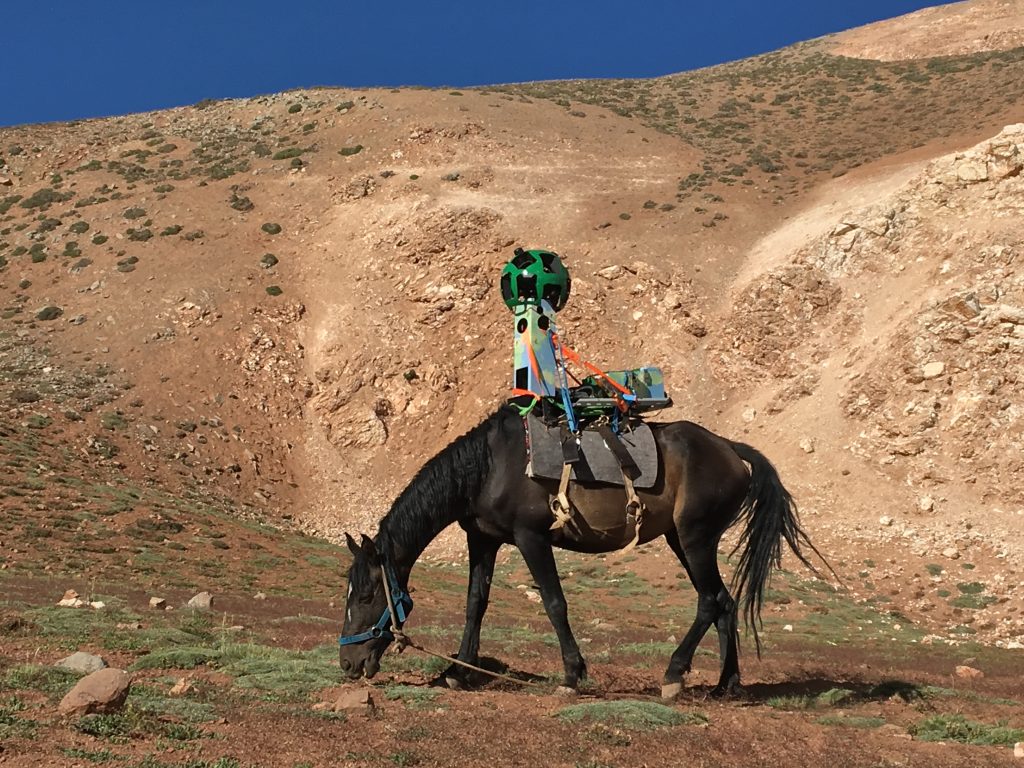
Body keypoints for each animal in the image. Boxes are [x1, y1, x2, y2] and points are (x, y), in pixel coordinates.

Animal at [339, 405, 827, 700]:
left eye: (366, 596)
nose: (347, 663)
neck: (490, 466)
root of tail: (729, 449)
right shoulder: (483, 539)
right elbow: (475, 603)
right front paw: (457, 672)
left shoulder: (531, 538)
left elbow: (555, 603)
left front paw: (572, 676)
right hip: (684, 541)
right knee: (724, 601)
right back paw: (726, 684)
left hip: (695, 538)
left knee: (709, 601)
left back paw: (673, 675)